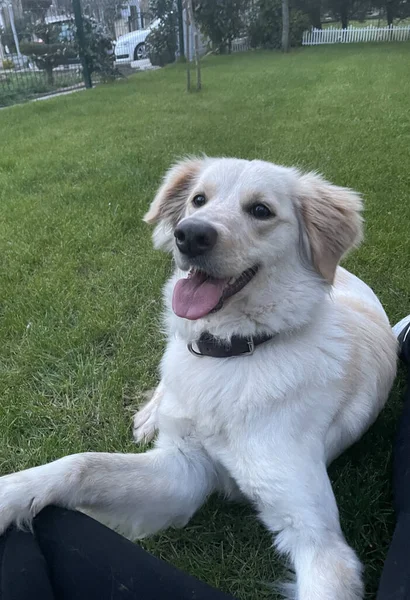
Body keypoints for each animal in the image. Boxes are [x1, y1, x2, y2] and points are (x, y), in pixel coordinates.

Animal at [0, 157, 398, 596]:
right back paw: (151, 415)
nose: (189, 235)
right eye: (198, 200)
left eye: (261, 210)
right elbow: (82, 464)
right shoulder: (185, 465)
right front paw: (8, 494)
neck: (231, 354)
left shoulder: (316, 537)